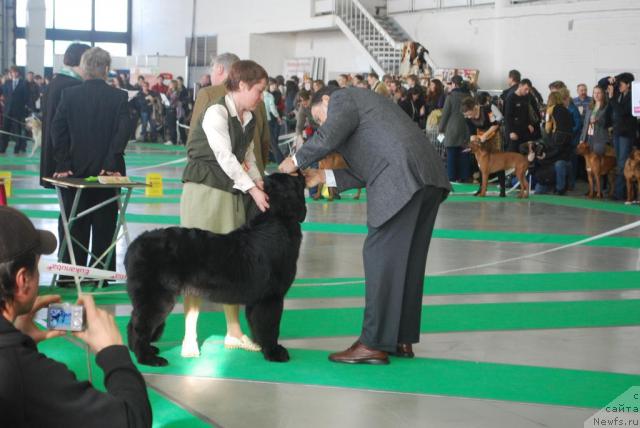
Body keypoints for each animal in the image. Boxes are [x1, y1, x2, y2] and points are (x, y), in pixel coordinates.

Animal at [125, 172, 308, 366]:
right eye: (294, 178)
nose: (301, 172)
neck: (278, 219)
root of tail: (135, 244)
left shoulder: (257, 300)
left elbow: (256, 324)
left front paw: (260, 346)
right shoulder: (271, 297)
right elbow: (270, 327)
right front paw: (274, 352)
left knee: (133, 322)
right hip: (157, 298)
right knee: (140, 326)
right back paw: (148, 358)